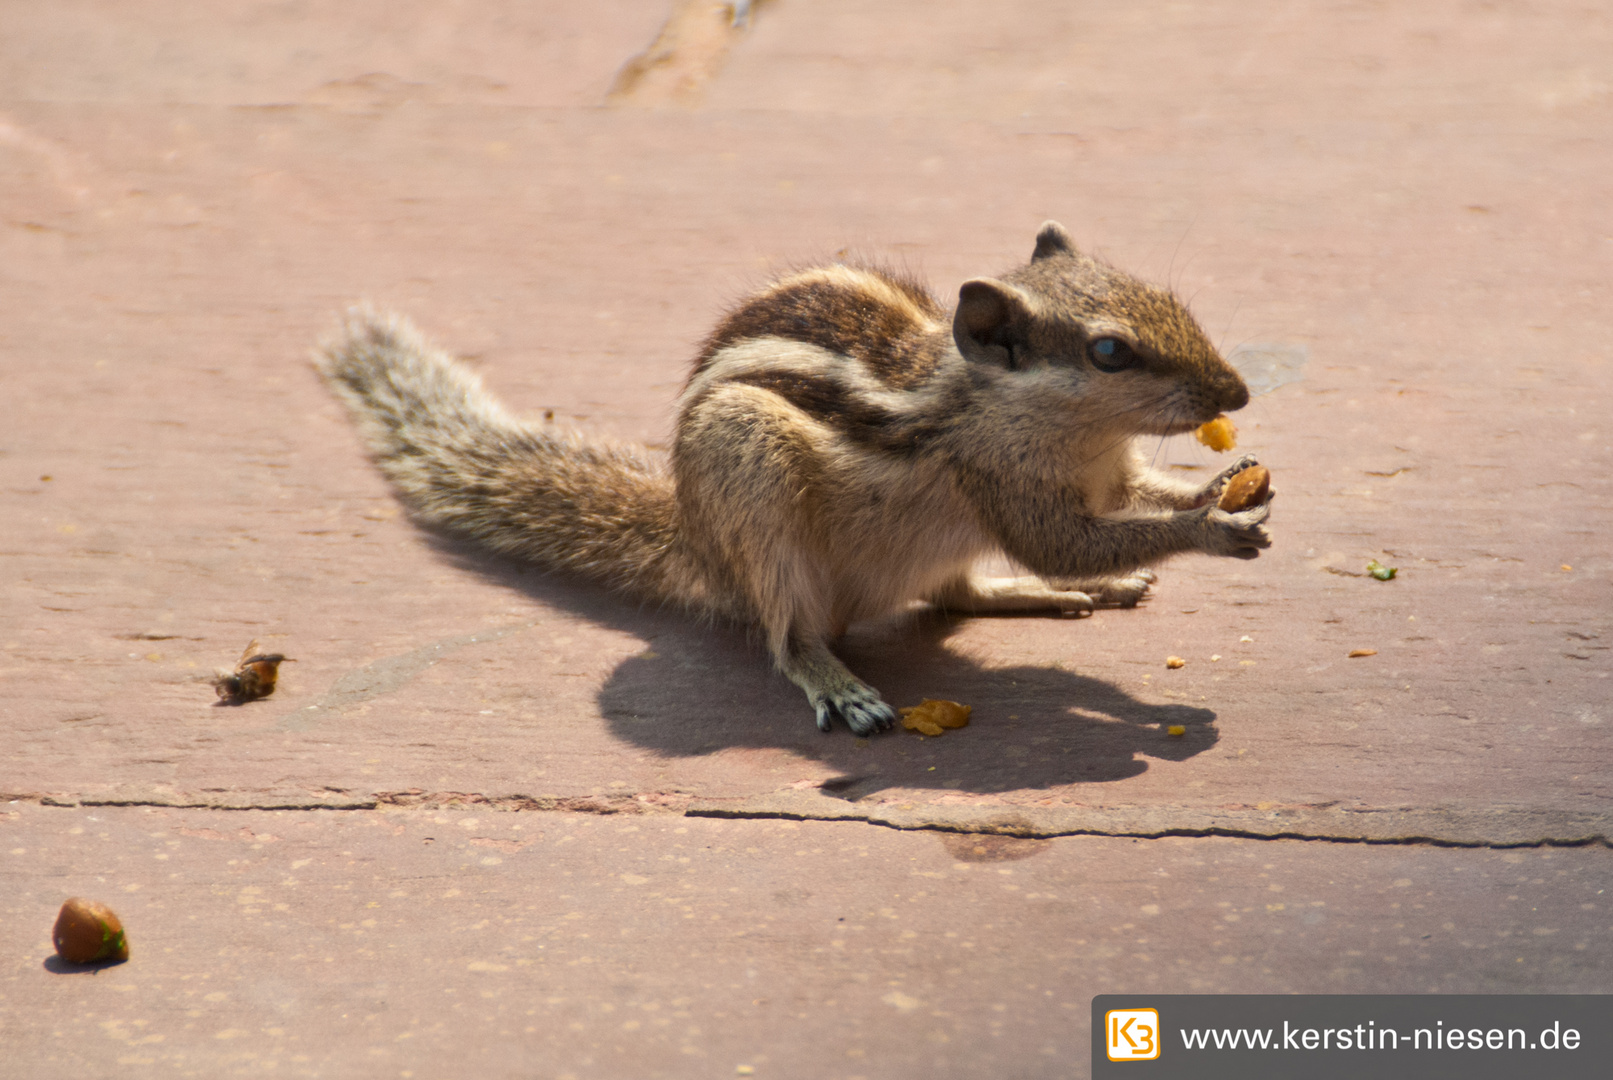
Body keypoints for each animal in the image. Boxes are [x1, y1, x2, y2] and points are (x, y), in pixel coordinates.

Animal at [317, 224, 1271, 741]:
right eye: (1110, 351)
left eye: (1162, 297)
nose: (1236, 394)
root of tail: (697, 549)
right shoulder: (1005, 484)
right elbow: (1063, 543)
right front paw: (1209, 526)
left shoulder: (1108, 474)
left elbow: (1129, 506)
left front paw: (1235, 487)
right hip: (751, 473)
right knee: (784, 636)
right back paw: (836, 682)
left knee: (954, 594)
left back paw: (1051, 596)